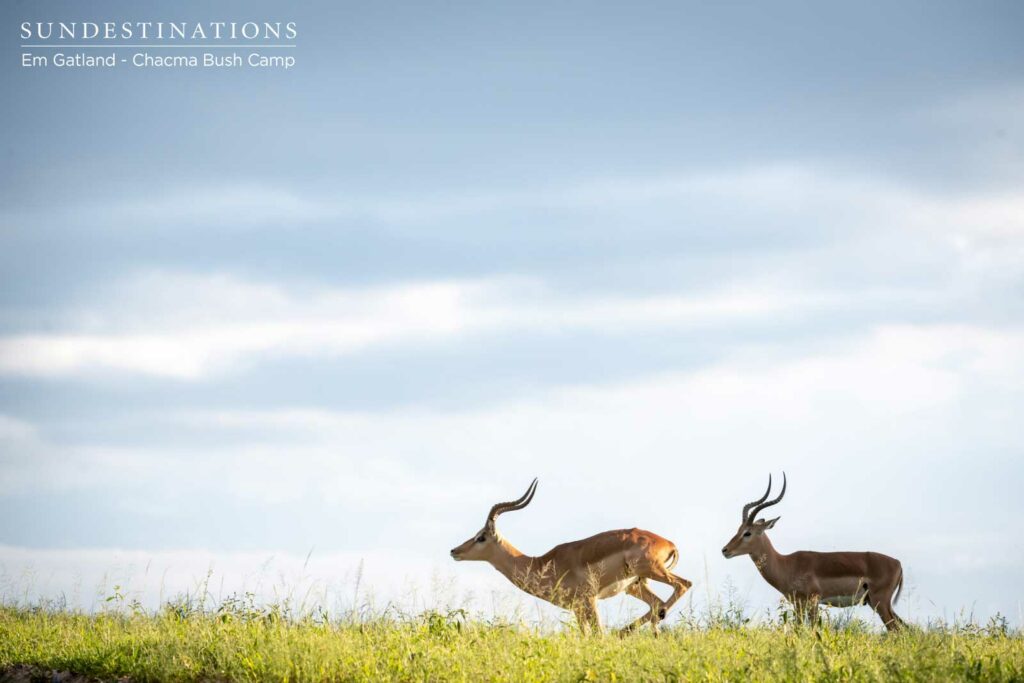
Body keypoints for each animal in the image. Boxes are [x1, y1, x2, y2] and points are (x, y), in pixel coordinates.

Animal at [450, 479, 692, 634]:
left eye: (481, 537)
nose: (454, 551)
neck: (542, 564)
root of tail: (668, 543)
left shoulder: (589, 601)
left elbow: (598, 635)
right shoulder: (577, 608)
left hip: (651, 570)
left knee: (682, 585)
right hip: (635, 585)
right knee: (657, 605)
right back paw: (627, 630)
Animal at [722, 473, 906, 631]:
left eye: (748, 533)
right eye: (739, 530)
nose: (725, 550)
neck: (786, 565)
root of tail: (898, 563)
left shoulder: (813, 602)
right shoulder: (798, 604)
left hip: (880, 603)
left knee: (896, 630)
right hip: (881, 604)